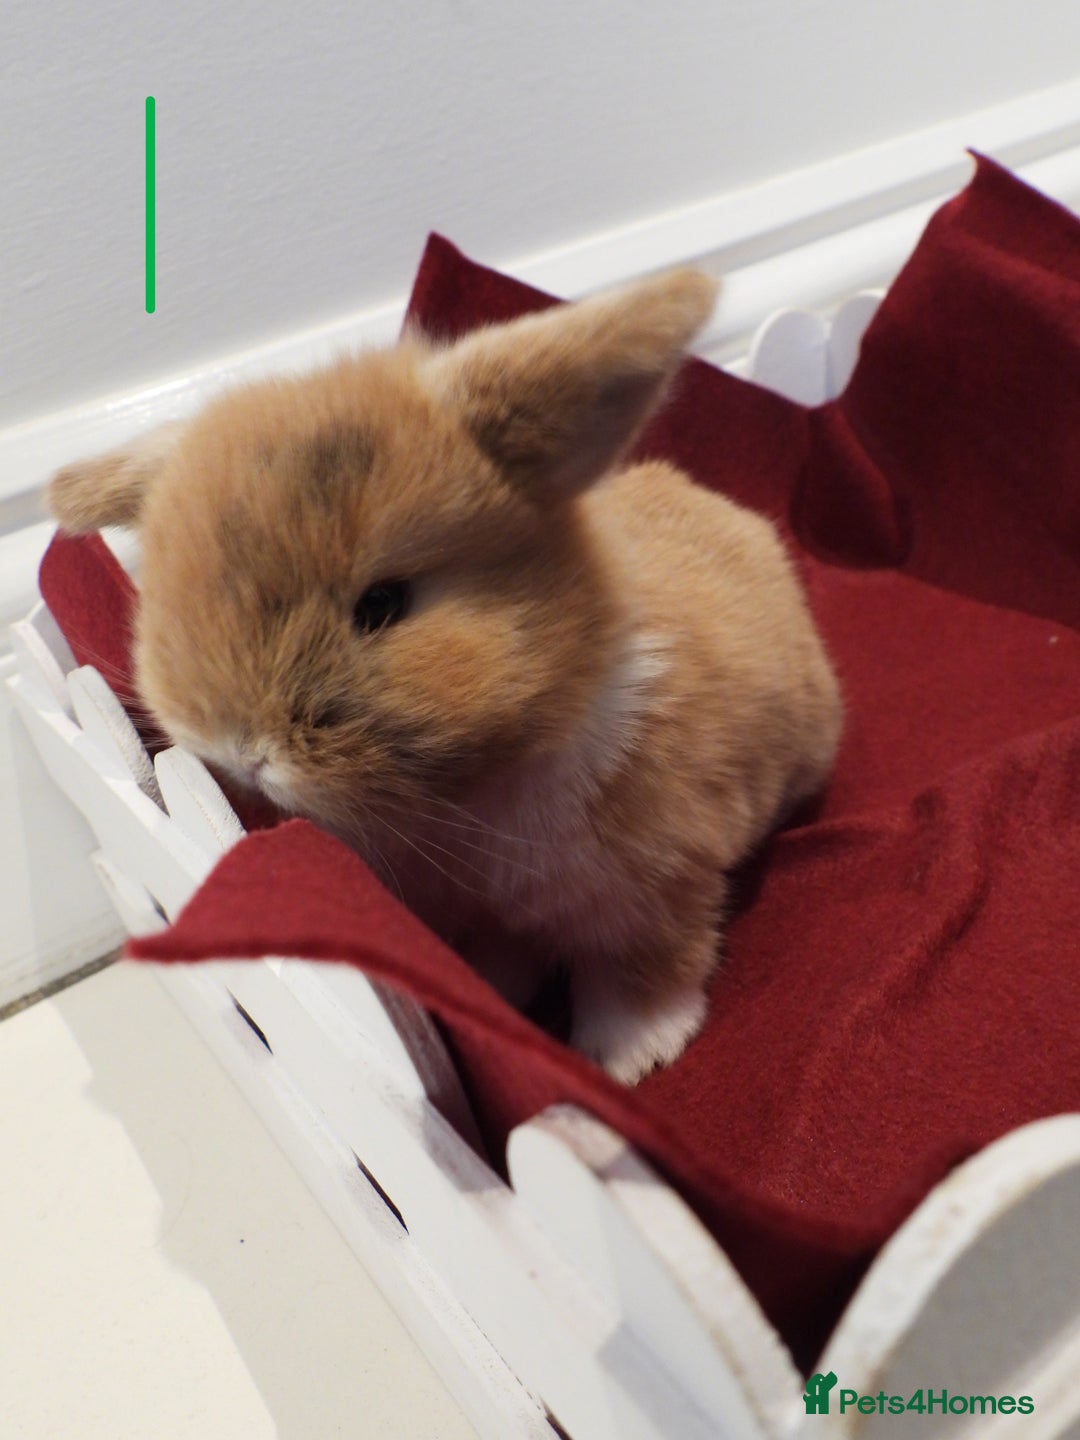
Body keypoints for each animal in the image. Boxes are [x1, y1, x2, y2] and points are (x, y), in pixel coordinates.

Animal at [48, 269, 842, 1085]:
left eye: (382, 604)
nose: (241, 752)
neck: (467, 794)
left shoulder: (655, 888)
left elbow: (642, 975)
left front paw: (629, 1058)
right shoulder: (478, 913)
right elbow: (492, 961)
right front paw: (493, 992)